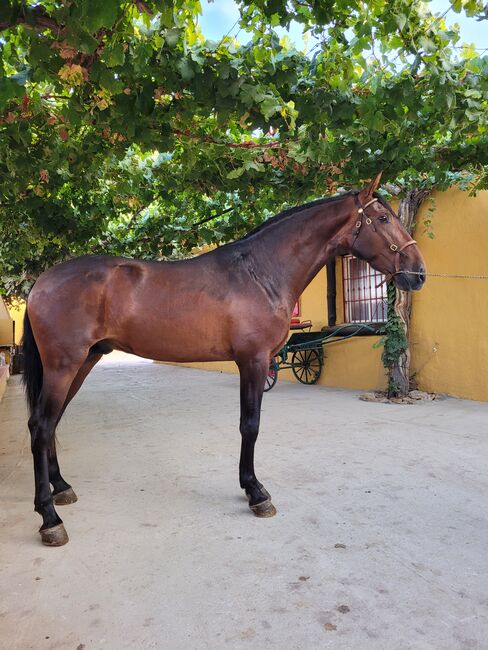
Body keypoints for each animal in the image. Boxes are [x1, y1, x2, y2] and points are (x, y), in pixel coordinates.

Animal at [21, 173, 426, 546]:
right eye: (383, 218)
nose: (418, 273)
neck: (260, 273)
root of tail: (42, 282)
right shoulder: (254, 362)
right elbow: (251, 425)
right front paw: (256, 493)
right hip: (63, 365)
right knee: (41, 426)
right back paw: (49, 518)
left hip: (83, 362)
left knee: (52, 423)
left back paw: (61, 487)